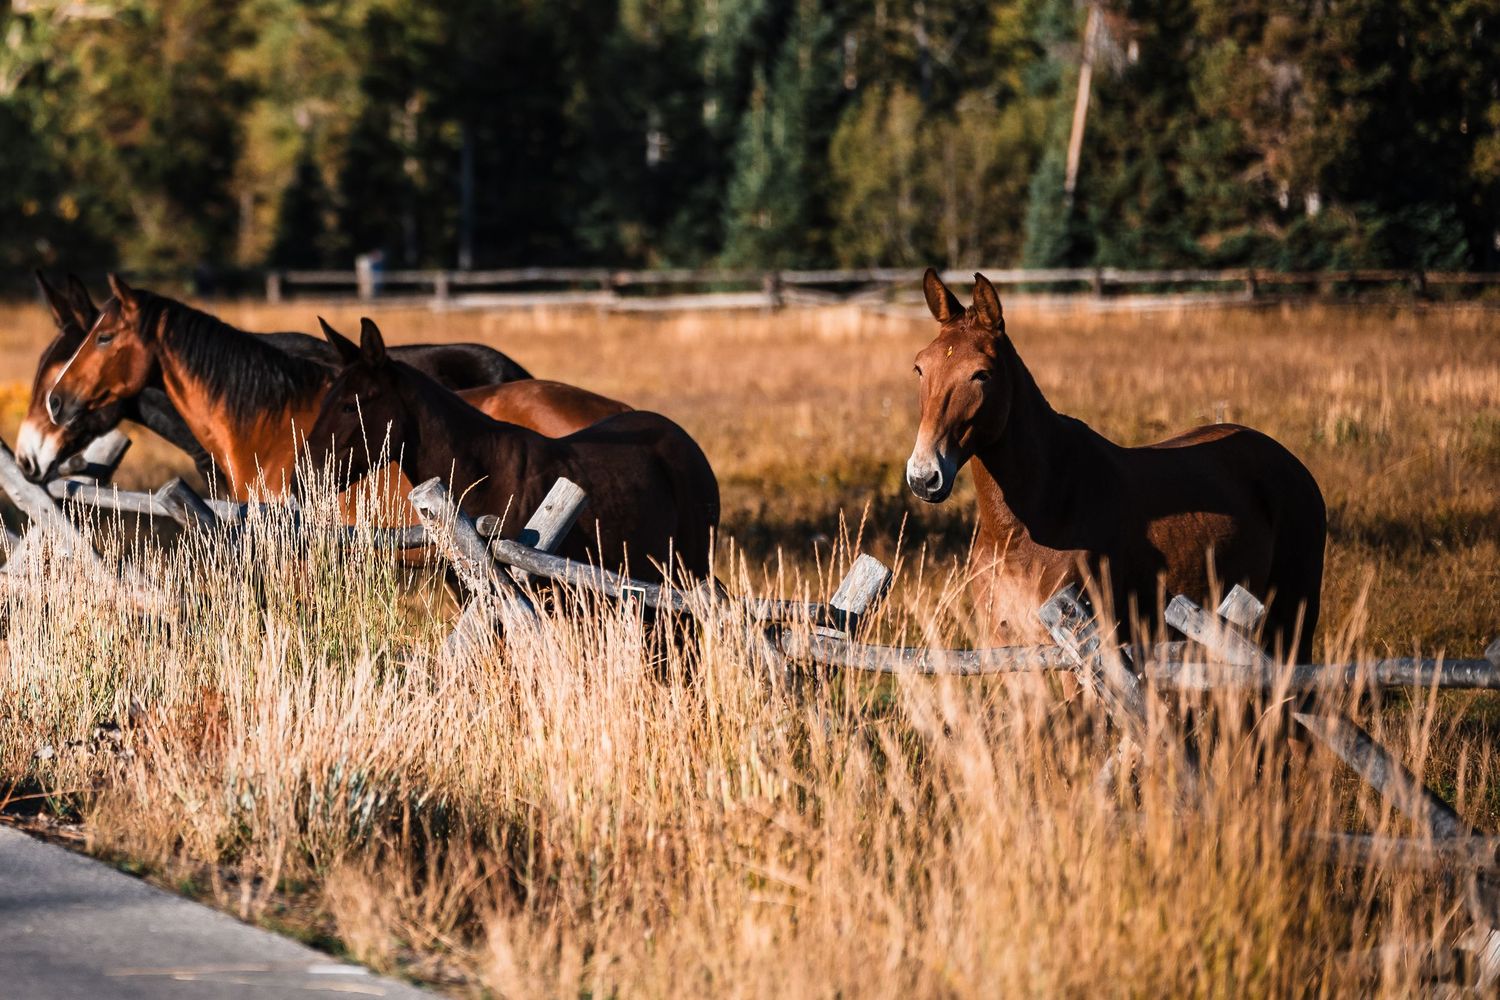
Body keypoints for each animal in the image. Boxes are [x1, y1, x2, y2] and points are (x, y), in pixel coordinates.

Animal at [906, 269, 1326, 662]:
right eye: (920, 367)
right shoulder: (1004, 647)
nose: (924, 476)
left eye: (982, 373)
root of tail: (1293, 464)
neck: (1027, 526)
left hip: (1292, 622)